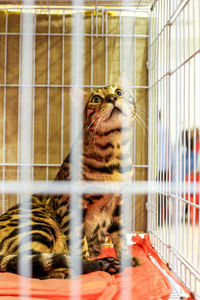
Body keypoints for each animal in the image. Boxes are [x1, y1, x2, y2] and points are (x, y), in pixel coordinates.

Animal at [0, 80, 140, 278]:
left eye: (119, 92)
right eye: (96, 99)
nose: (113, 98)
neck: (114, 155)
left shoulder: (118, 204)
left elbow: (120, 236)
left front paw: (127, 259)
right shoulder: (69, 202)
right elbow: (79, 240)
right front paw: (87, 261)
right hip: (41, 224)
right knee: (29, 264)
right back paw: (94, 266)